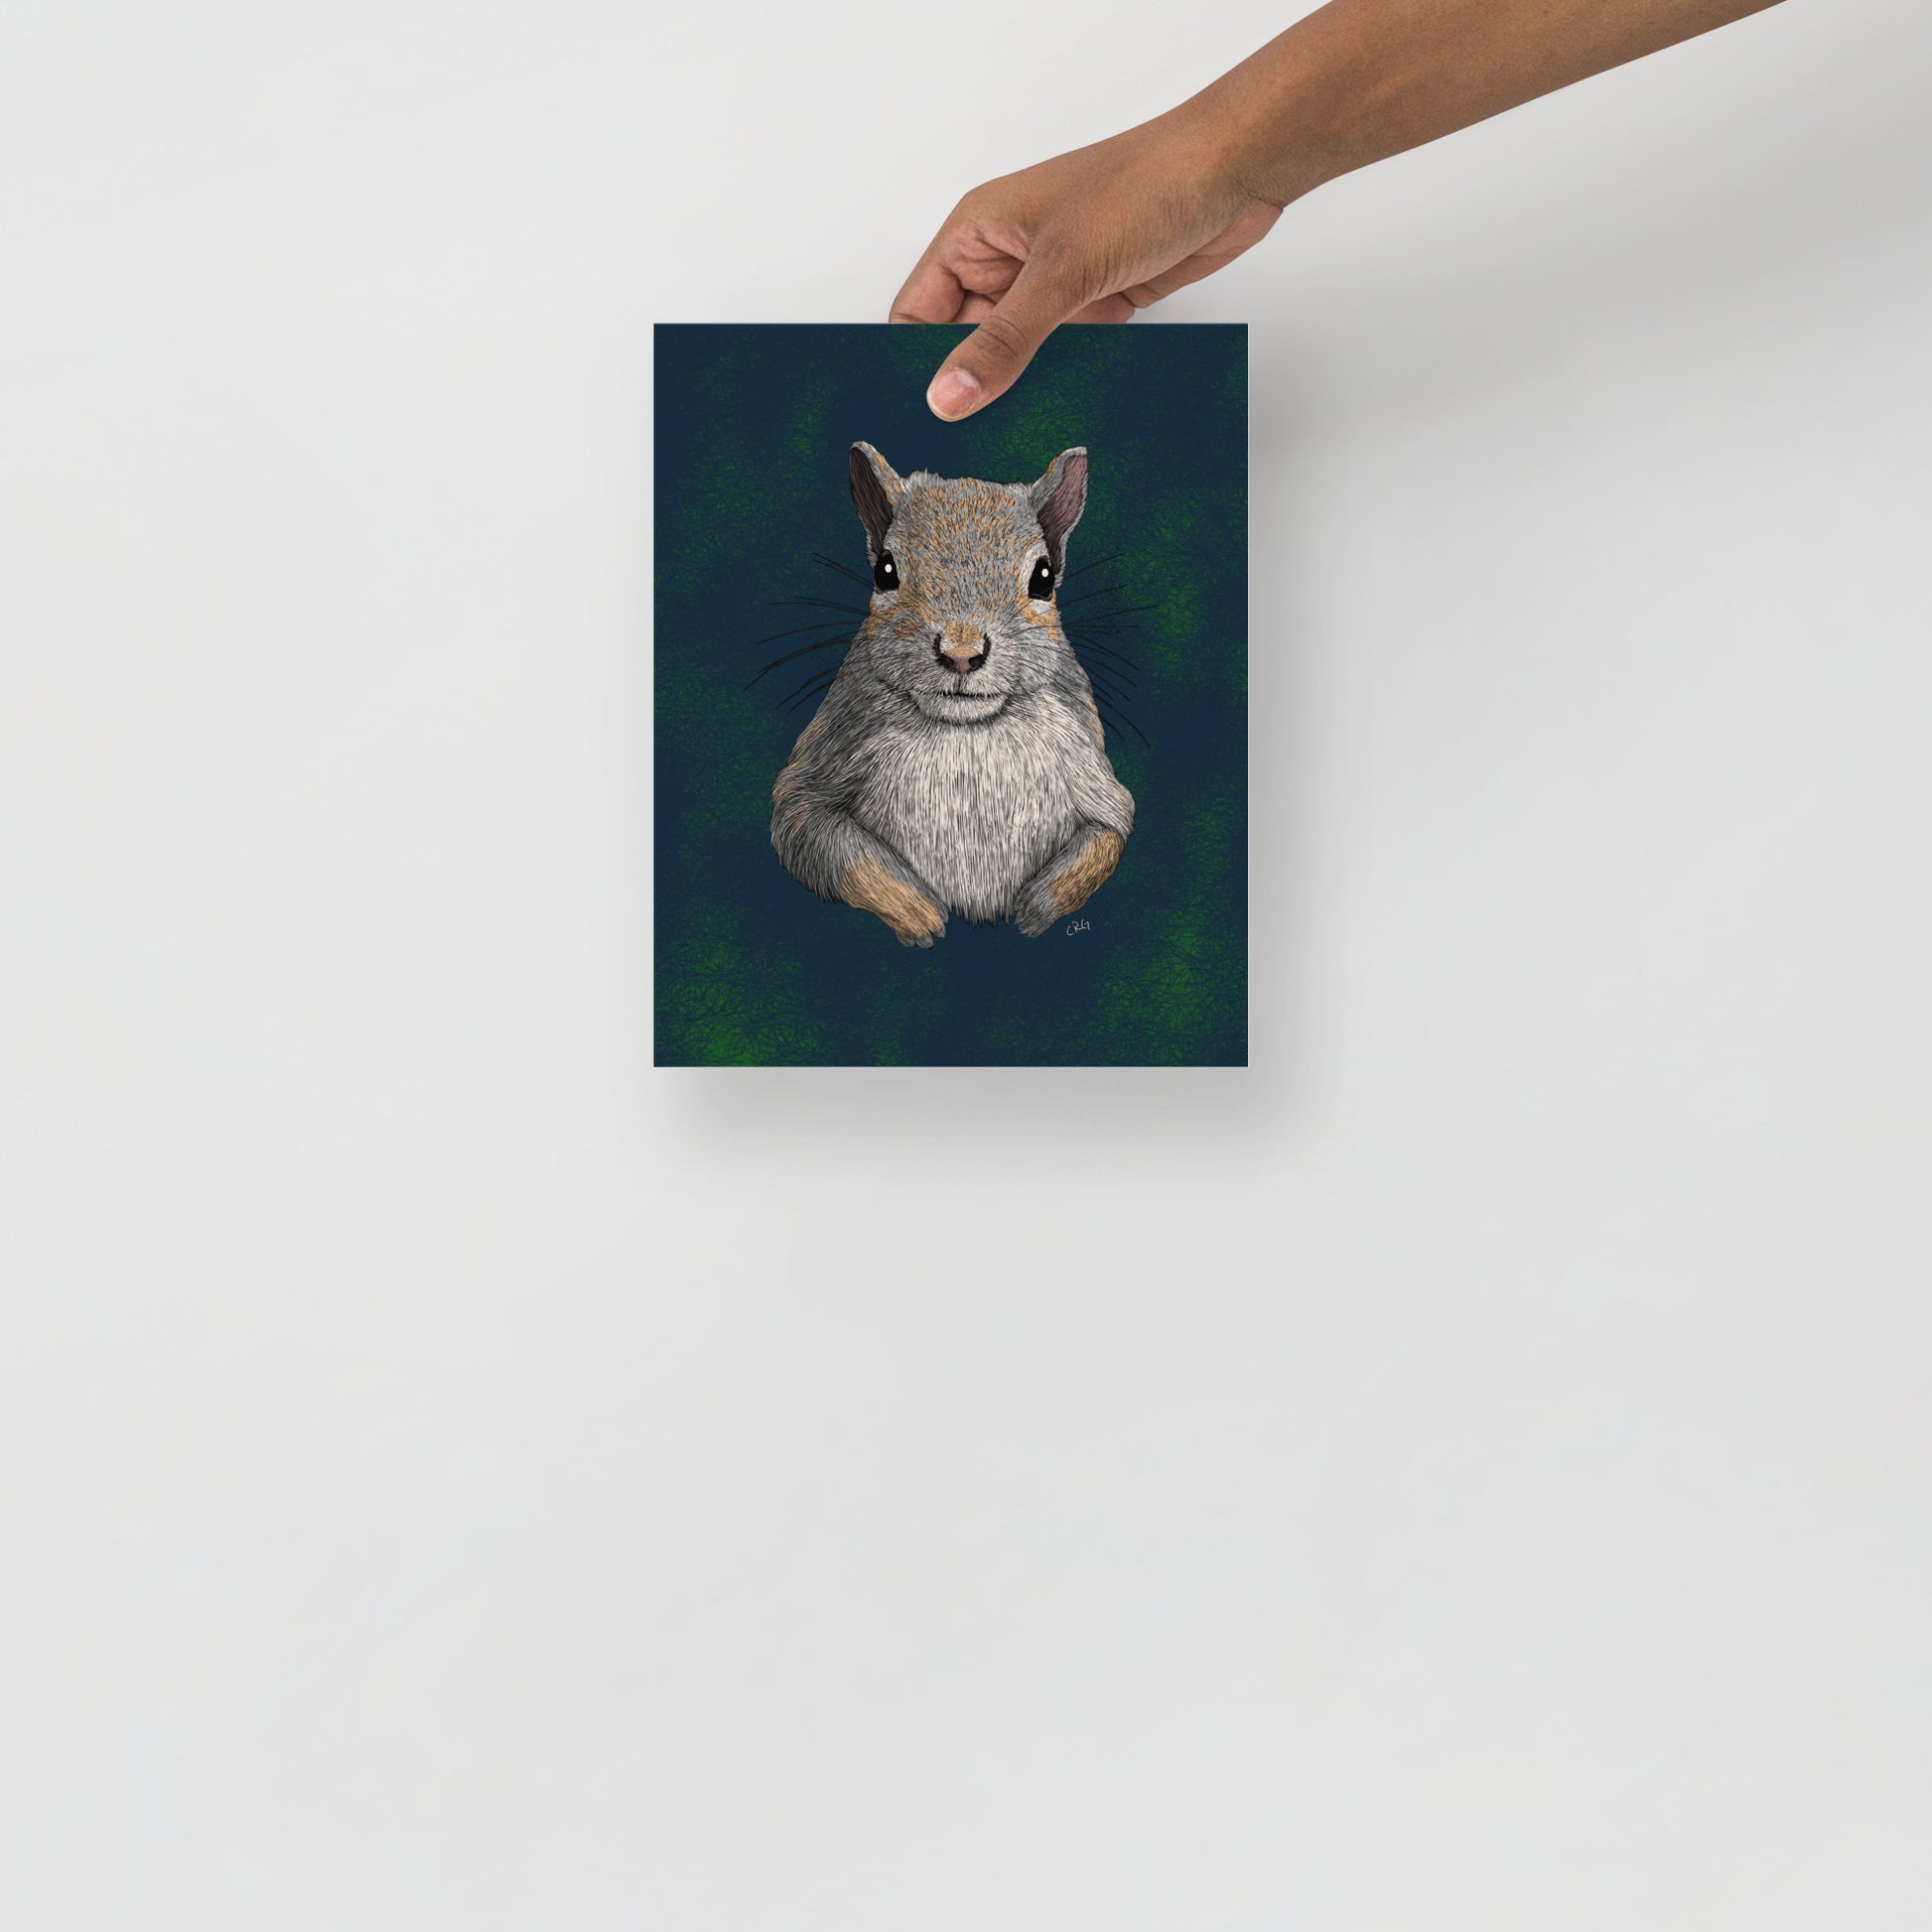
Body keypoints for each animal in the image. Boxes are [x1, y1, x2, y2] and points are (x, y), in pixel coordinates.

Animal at [771, 442, 1135, 946]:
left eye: (1044, 578)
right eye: (885, 571)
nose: (962, 653)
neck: (966, 729)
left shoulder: (1089, 765)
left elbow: (1106, 835)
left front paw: (1032, 911)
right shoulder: (827, 757)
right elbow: (823, 841)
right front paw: (919, 913)